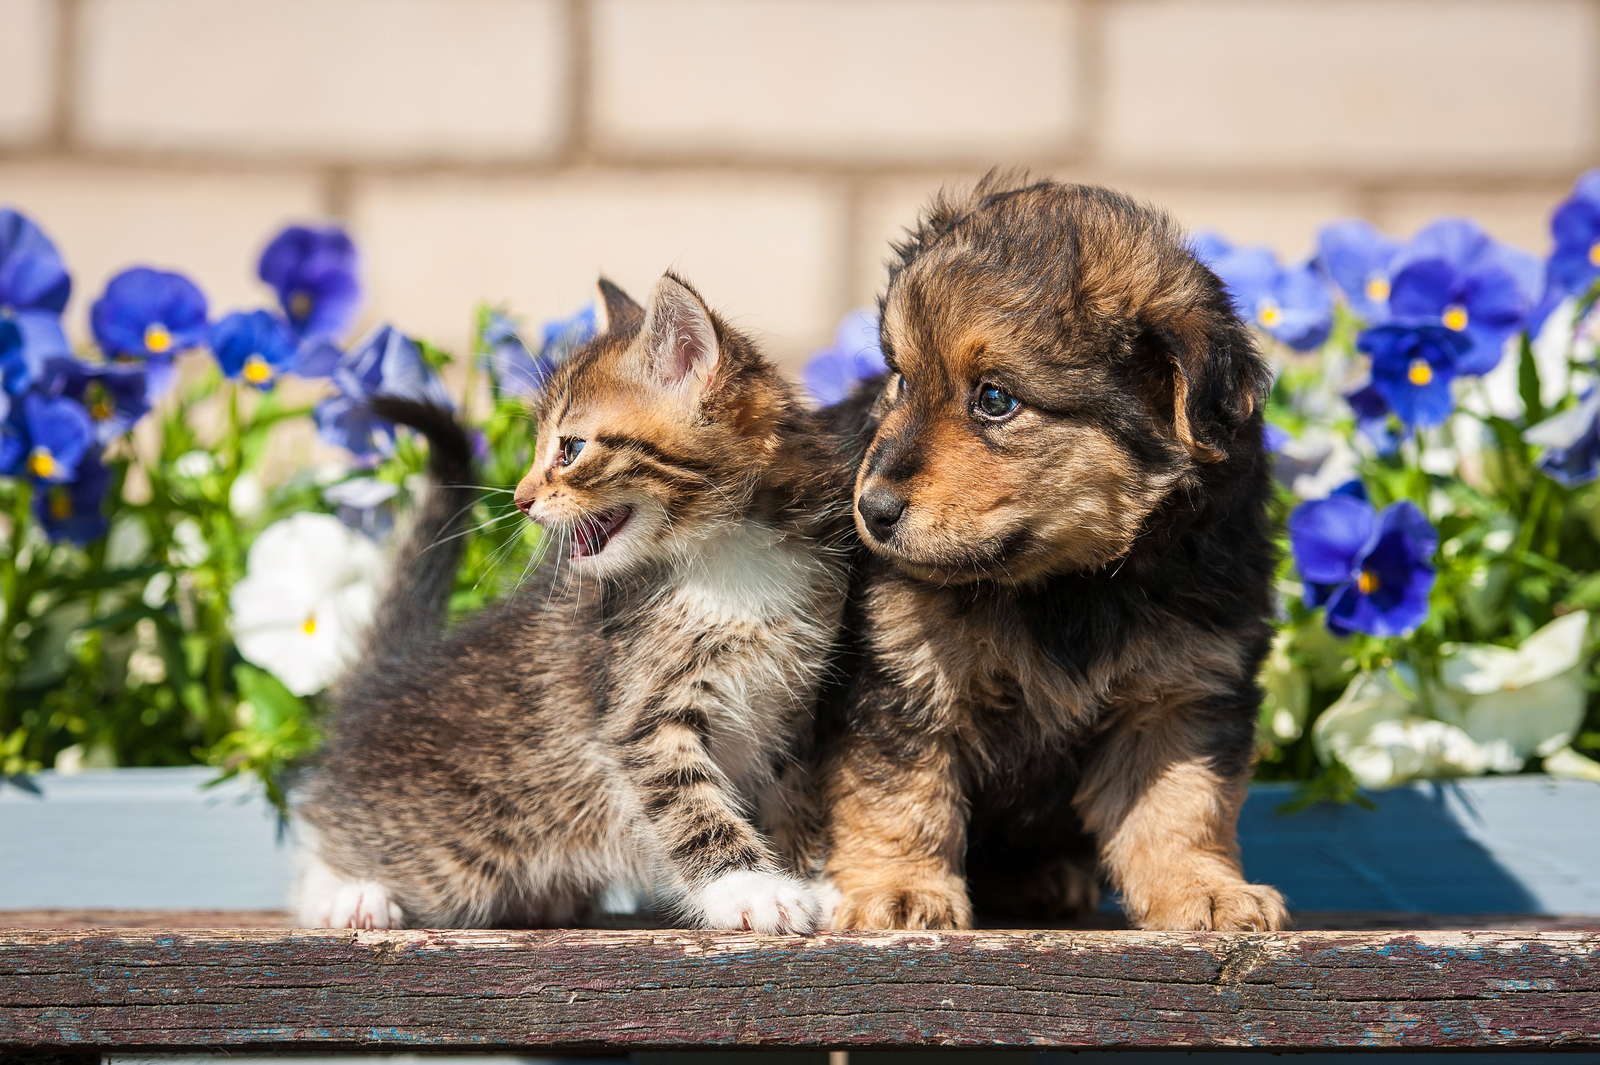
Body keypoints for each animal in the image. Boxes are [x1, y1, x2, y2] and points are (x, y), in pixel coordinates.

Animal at [296, 273, 857, 927]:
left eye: (570, 449)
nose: (520, 499)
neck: (727, 554)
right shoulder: (640, 714)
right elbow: (691, 807)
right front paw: (749, 889)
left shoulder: (791, 710)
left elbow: (792, 798)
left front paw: (810, 880)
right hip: (447, 852)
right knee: (329, 842)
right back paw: (350, 895)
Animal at [819, 174, 1292, 927]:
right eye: (900, 380)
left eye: (994, 398)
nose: (872, 508)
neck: (1073, 581)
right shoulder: (903, 679)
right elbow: (899, 795)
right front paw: (900, 889)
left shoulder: (1185, 691)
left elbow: (1182, 804)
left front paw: (1206, 889)